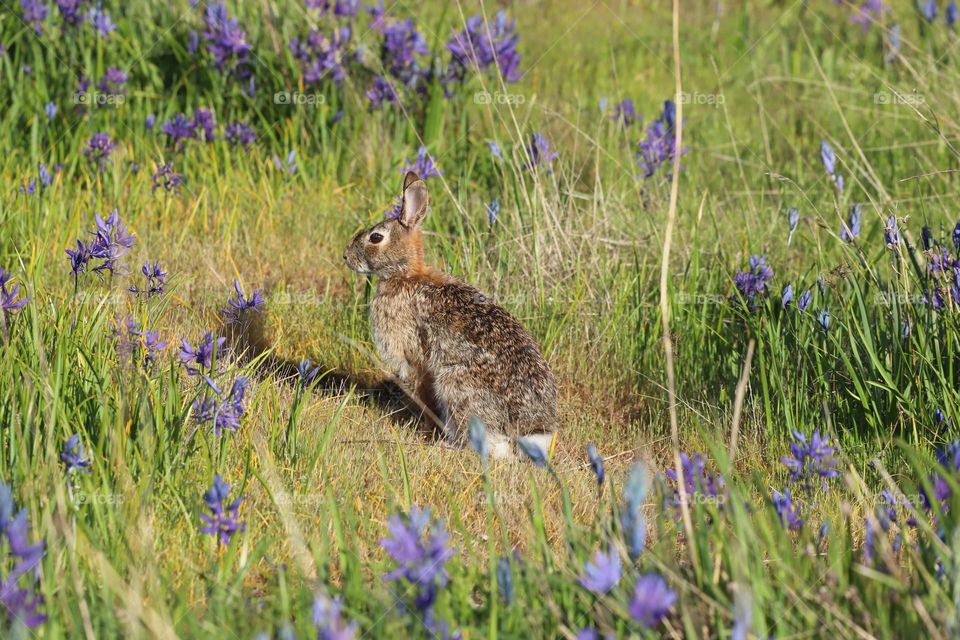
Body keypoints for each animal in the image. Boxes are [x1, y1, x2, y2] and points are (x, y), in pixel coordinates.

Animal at [344, 171, 556, 460]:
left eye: (375, 238)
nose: (346, 256)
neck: (404, 275)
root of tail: (530, 430)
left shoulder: (415, 359)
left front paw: (425, 432)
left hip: (455, 386)